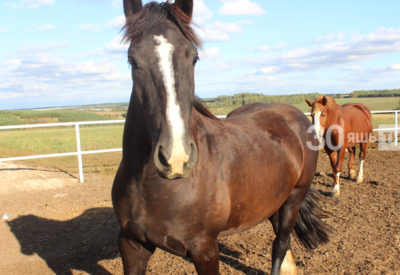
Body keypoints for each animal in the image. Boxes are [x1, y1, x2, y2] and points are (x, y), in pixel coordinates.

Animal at [111, 1, 328, 274]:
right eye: (132, 59)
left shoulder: (205, 250)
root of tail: (295, 114)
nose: (176, 158)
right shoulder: (132, 245)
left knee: (280, 244)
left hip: (294, 198)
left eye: (194, 57)